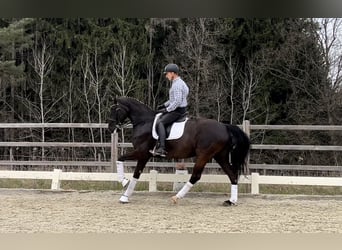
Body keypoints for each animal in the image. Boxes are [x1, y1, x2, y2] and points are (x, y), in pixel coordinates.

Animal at [108, 96, 250, 206]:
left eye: (115, 109)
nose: (110, 128)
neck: (144, 122)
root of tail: (224, 126)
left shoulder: (142, 153)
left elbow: (128, 166)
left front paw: (124, 187)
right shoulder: (144, 155)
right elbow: (128, 167)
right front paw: (125, 190)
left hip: (204, 155)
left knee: (196, 176)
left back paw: (177, 197)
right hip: (220, 156)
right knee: (232, 175)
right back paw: (231, 201)